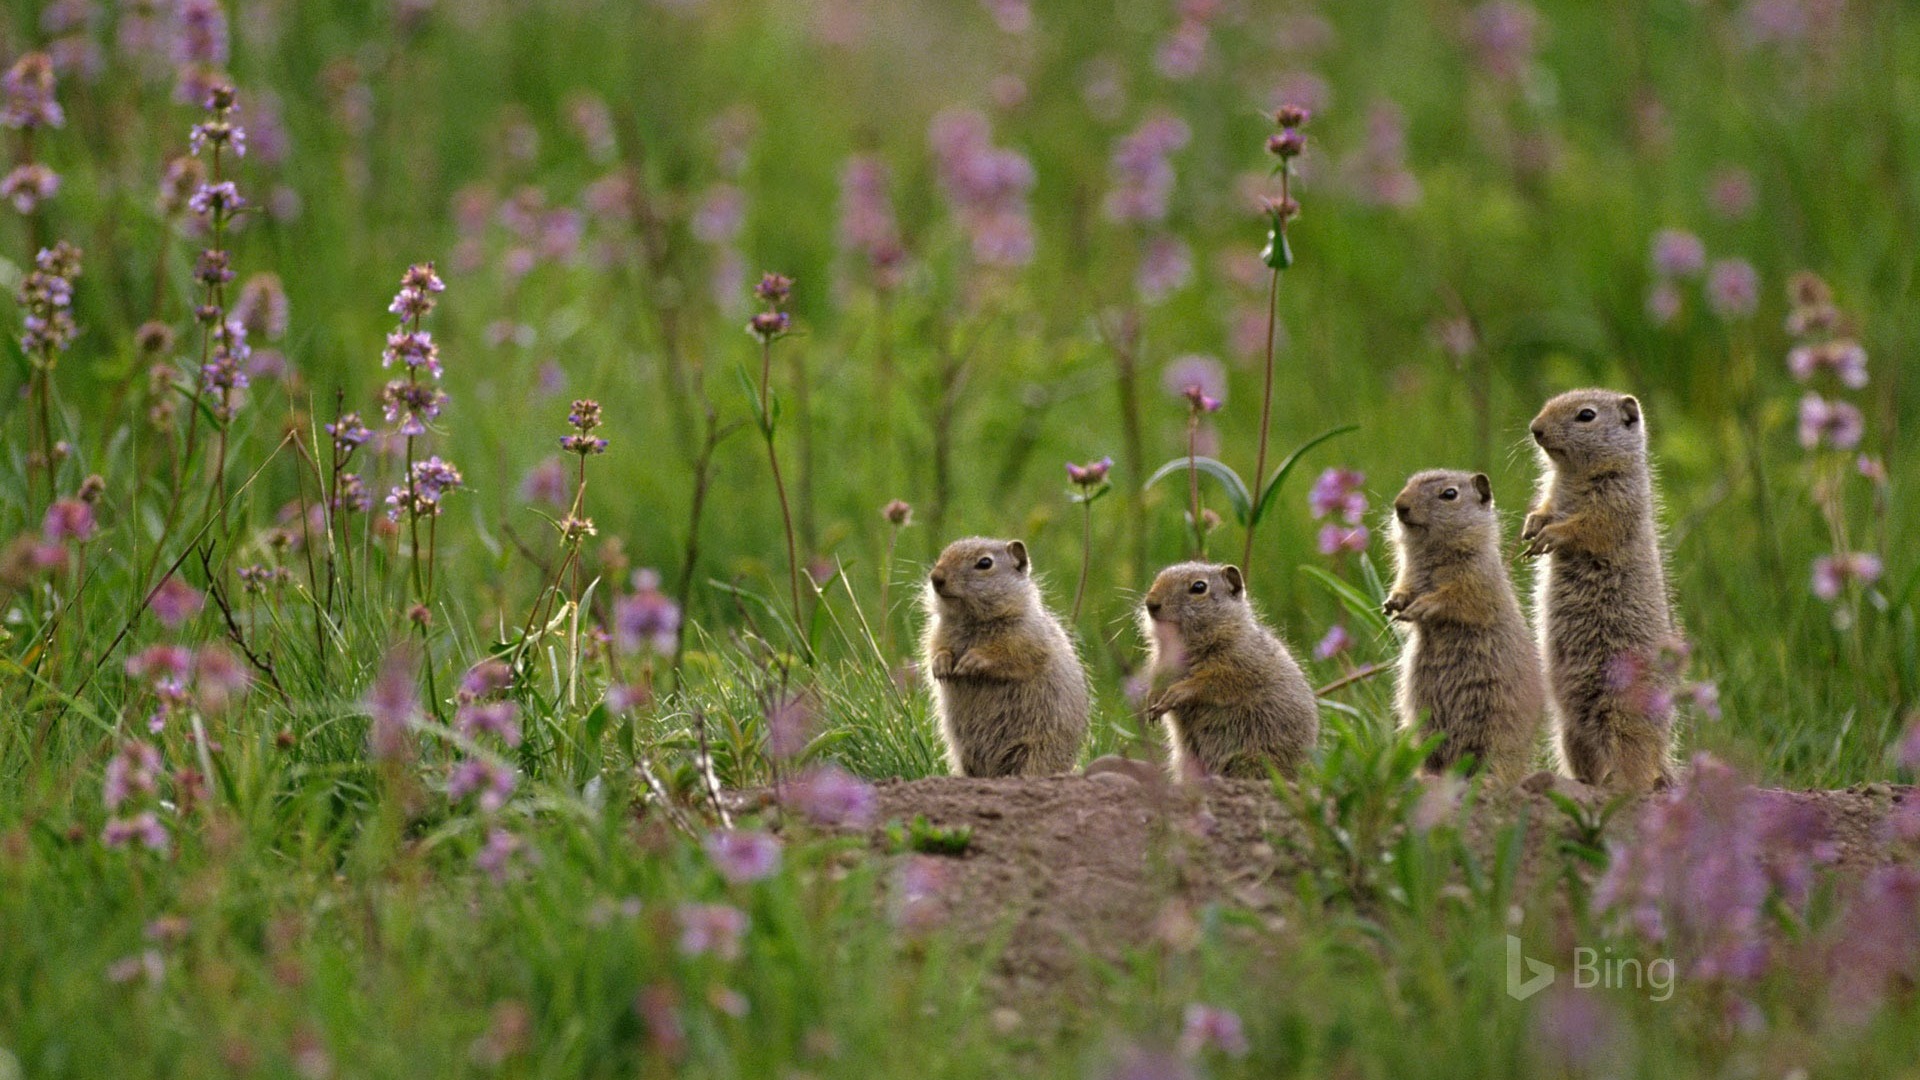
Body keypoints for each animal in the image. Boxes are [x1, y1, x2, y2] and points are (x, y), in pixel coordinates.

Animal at [921, 534, 1090, 772]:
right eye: (944, 553)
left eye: (985, 563)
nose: (936, 577)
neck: (974, 621)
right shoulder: (937, 632)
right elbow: (935, 649)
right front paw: (942, 664)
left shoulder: (1026, 637)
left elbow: (1011, 656)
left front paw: (971, 661)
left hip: (1033, 753)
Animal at [1136, 557, 1320, 776]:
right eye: (1159, 577)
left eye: (1199, 587)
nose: (1151, 603)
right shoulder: (1162, 664)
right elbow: (1159, 680)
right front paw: (1152, 701)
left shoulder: (1237, 664)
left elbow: (1210, 683)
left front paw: (1176, 693)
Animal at [1382, 466, 1543, 776]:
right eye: (1408, 483)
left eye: (1449, 494)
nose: (1399, 505)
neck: (1432, 553)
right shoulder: (1409, 574)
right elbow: (1404, 588)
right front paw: (1392, 603)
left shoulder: (1476, 577)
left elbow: (1457, 598)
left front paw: (1421, 606)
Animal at [1520, 388, 1674, 791]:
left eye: (1586, 415)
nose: (1535, 428)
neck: (1573, 475)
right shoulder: (1552, 493)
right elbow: (1544, 507)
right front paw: (1531, 527)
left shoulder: (1616, 498)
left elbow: (1589, 525)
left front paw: (1551, 535)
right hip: (1570, 734)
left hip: (1624, 719)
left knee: (1637, 769)